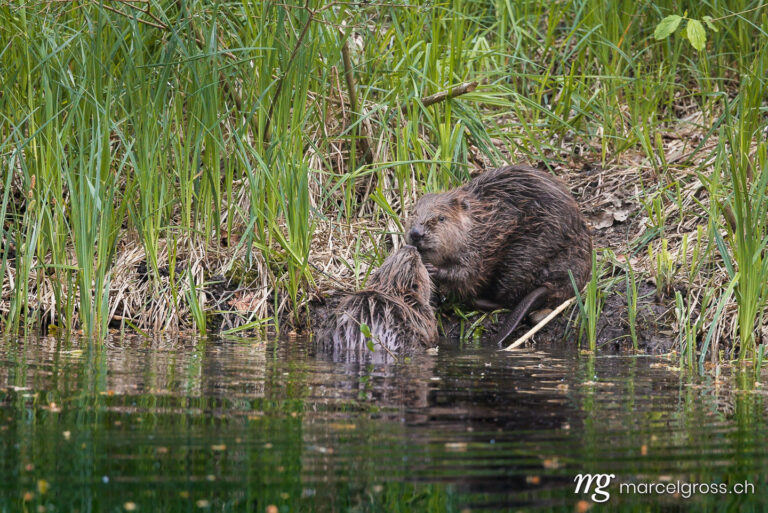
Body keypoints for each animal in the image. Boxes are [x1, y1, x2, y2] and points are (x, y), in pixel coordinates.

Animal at [404, 164, 592, 344]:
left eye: (441, 218)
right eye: (414, 214)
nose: (416, 233)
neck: (482, 220)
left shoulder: (481, 245)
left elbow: (468, 273)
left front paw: (433, 269)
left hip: (525, 253)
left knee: (507, 298)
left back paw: (474, 300)